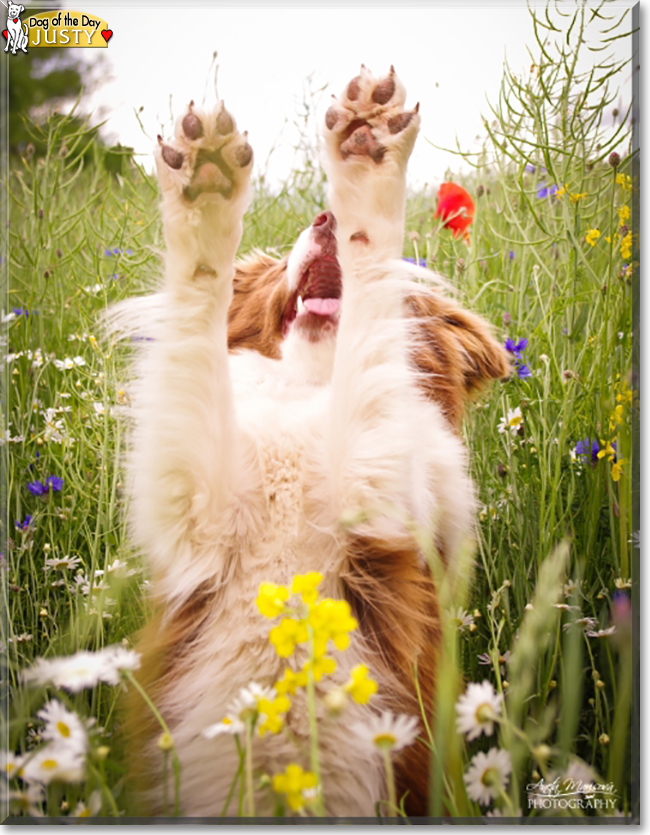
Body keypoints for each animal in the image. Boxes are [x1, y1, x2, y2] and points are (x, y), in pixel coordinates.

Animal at [115, 70, 506, 816]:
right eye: (273, 272)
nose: (323, 220)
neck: (309, 398)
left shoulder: (382, 496)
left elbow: (374, 328)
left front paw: (367, 166)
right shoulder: (194, 504)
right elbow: (195, 329)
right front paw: (206, 195)